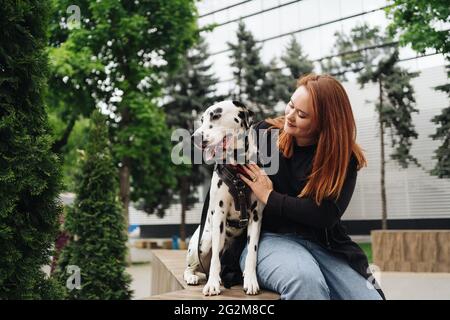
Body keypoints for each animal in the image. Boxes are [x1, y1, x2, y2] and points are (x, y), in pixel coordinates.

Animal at [183, 100, 266, 296]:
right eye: (202, 119)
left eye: (216, 116)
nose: (194, 138)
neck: (238, 171)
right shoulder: (219, 215)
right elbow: (215, 259)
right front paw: (213, 284)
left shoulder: (256, 217)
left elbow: (252, 253)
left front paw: (251, 280)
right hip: (203, 242)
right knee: (190, 267)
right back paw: (193, 277)